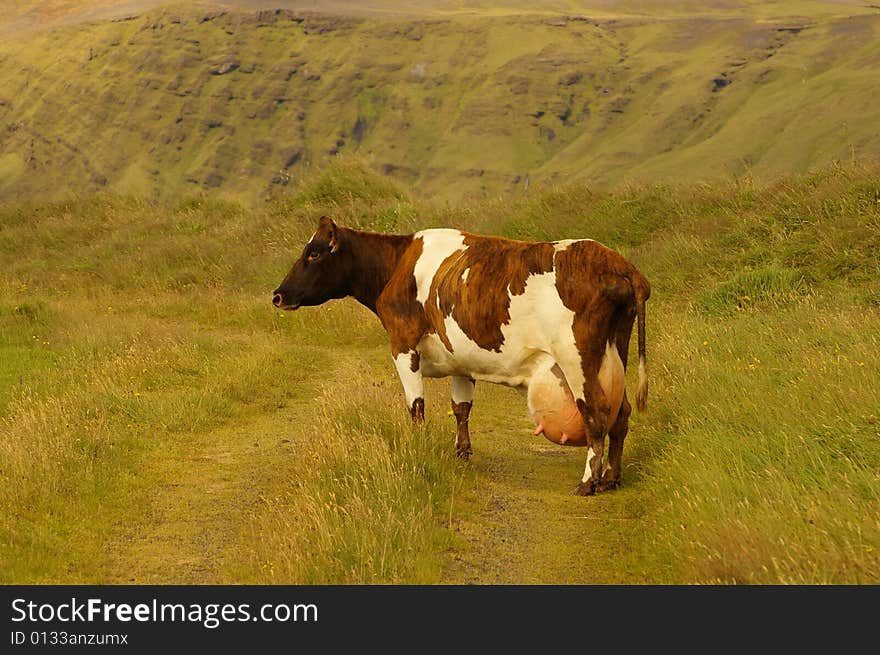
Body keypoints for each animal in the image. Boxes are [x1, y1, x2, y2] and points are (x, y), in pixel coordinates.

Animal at [272, 217, 648, 498]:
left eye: (314, 254)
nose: (278, 295)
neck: (398, 264)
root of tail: (617, 262)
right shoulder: (460, 358)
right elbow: (461, 408)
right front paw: (462, 453)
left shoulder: (402, 346)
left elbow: (416, 406)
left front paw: (418, 449)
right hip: (615, 354)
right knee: (622, 414)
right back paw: (611, 478)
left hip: (577, 359)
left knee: (596, 416)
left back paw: (588, 483)